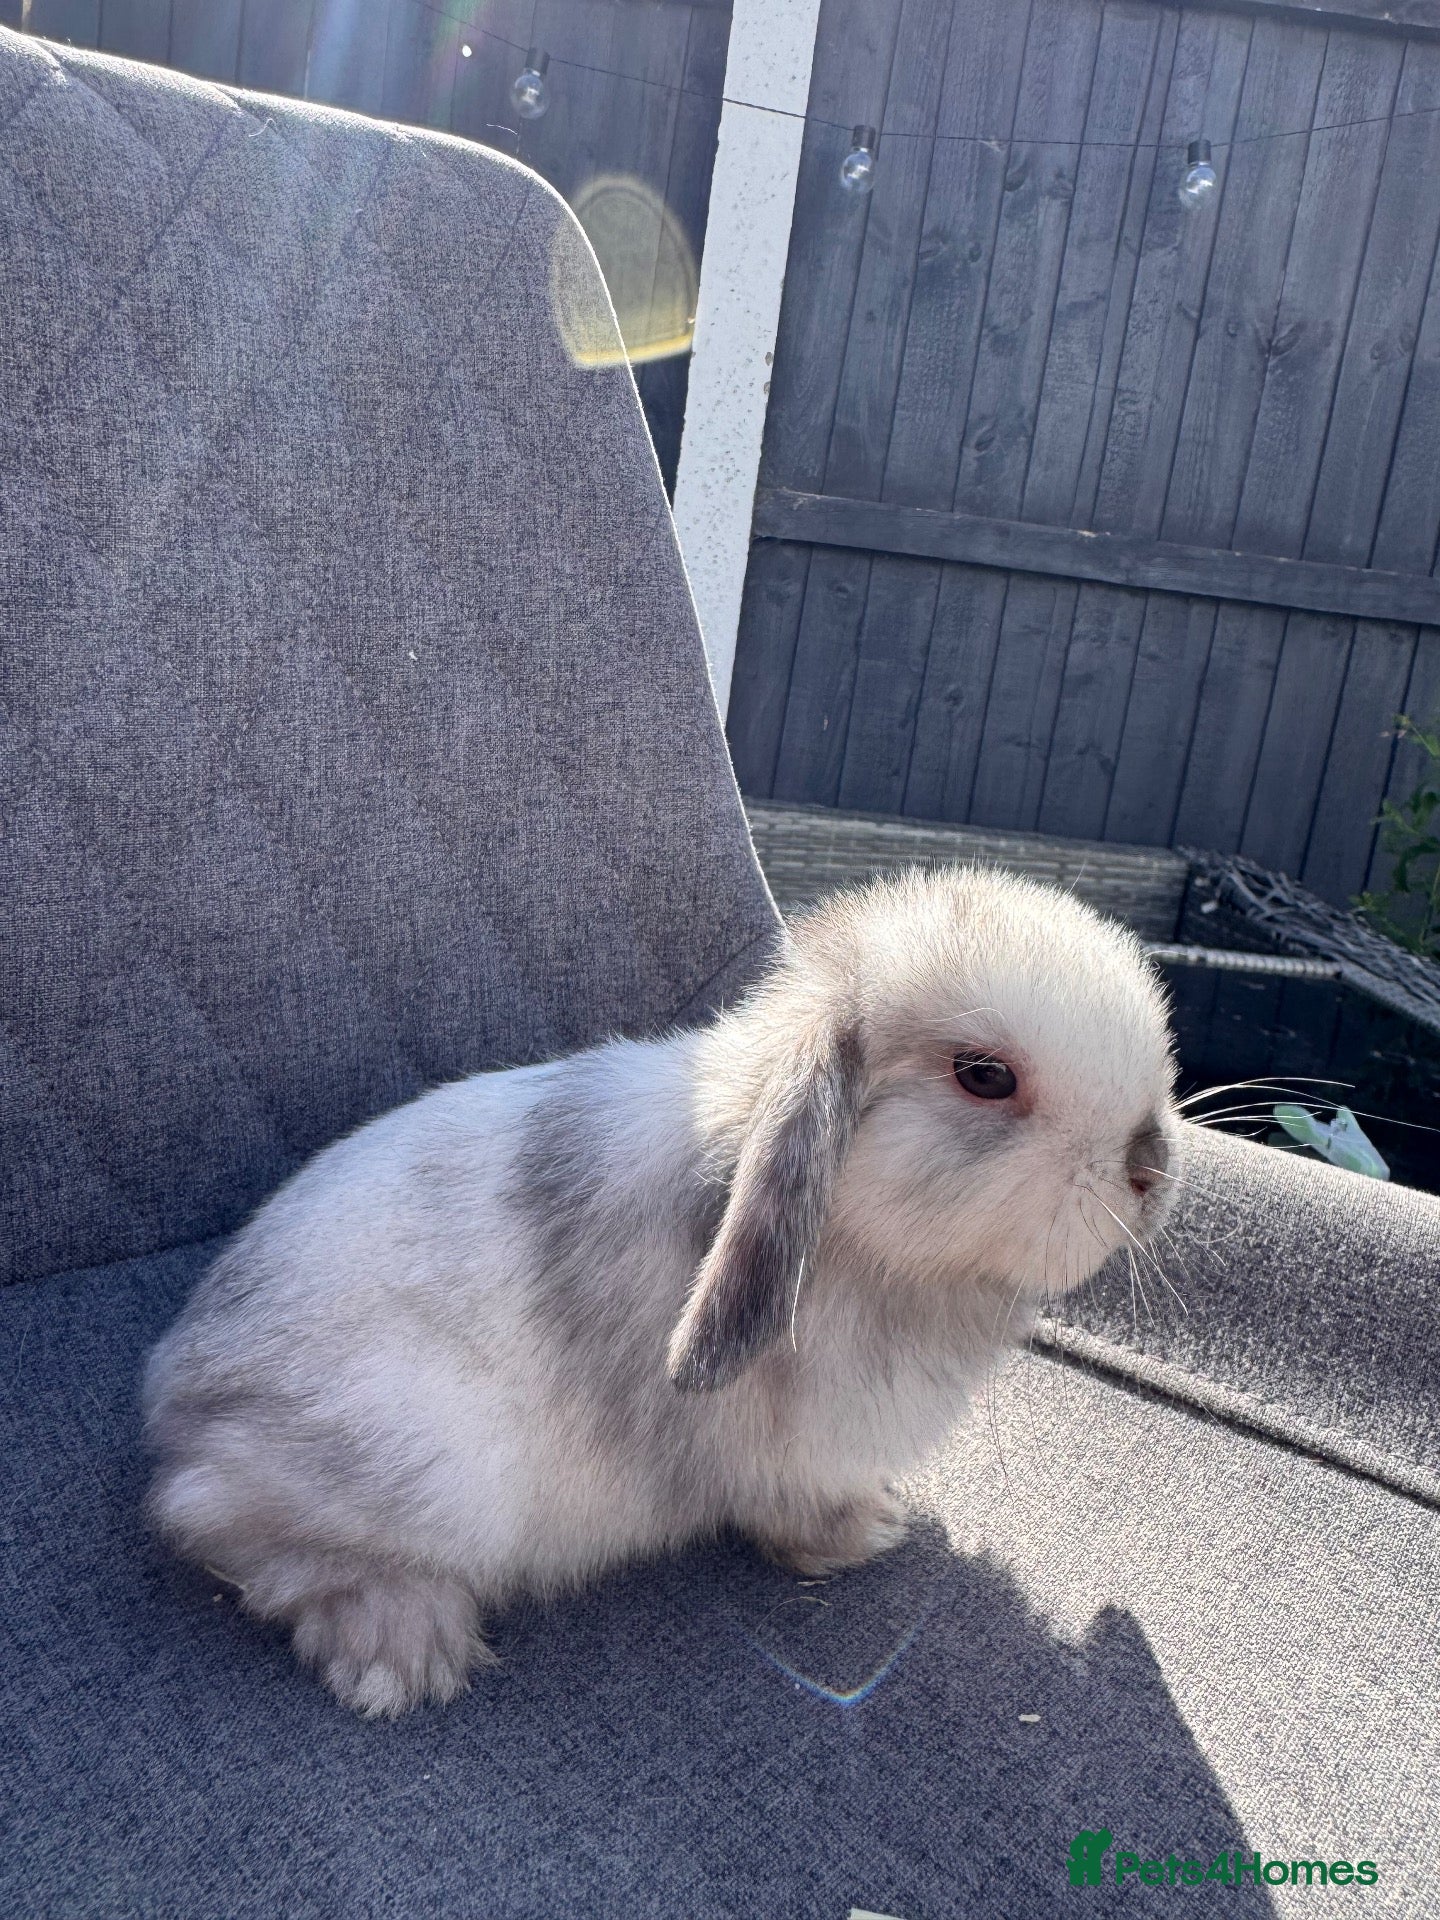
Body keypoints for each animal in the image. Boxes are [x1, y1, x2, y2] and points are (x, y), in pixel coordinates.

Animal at [142, 863, 1180, 1717]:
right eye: (985, 1075)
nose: (1151, 1166)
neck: (851, 1241)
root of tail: (179, 1401)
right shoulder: (794, 1454)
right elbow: (798, 1511)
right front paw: (869, 1532)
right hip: (426, 1467)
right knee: (239, 1537)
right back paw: (403, 1650)